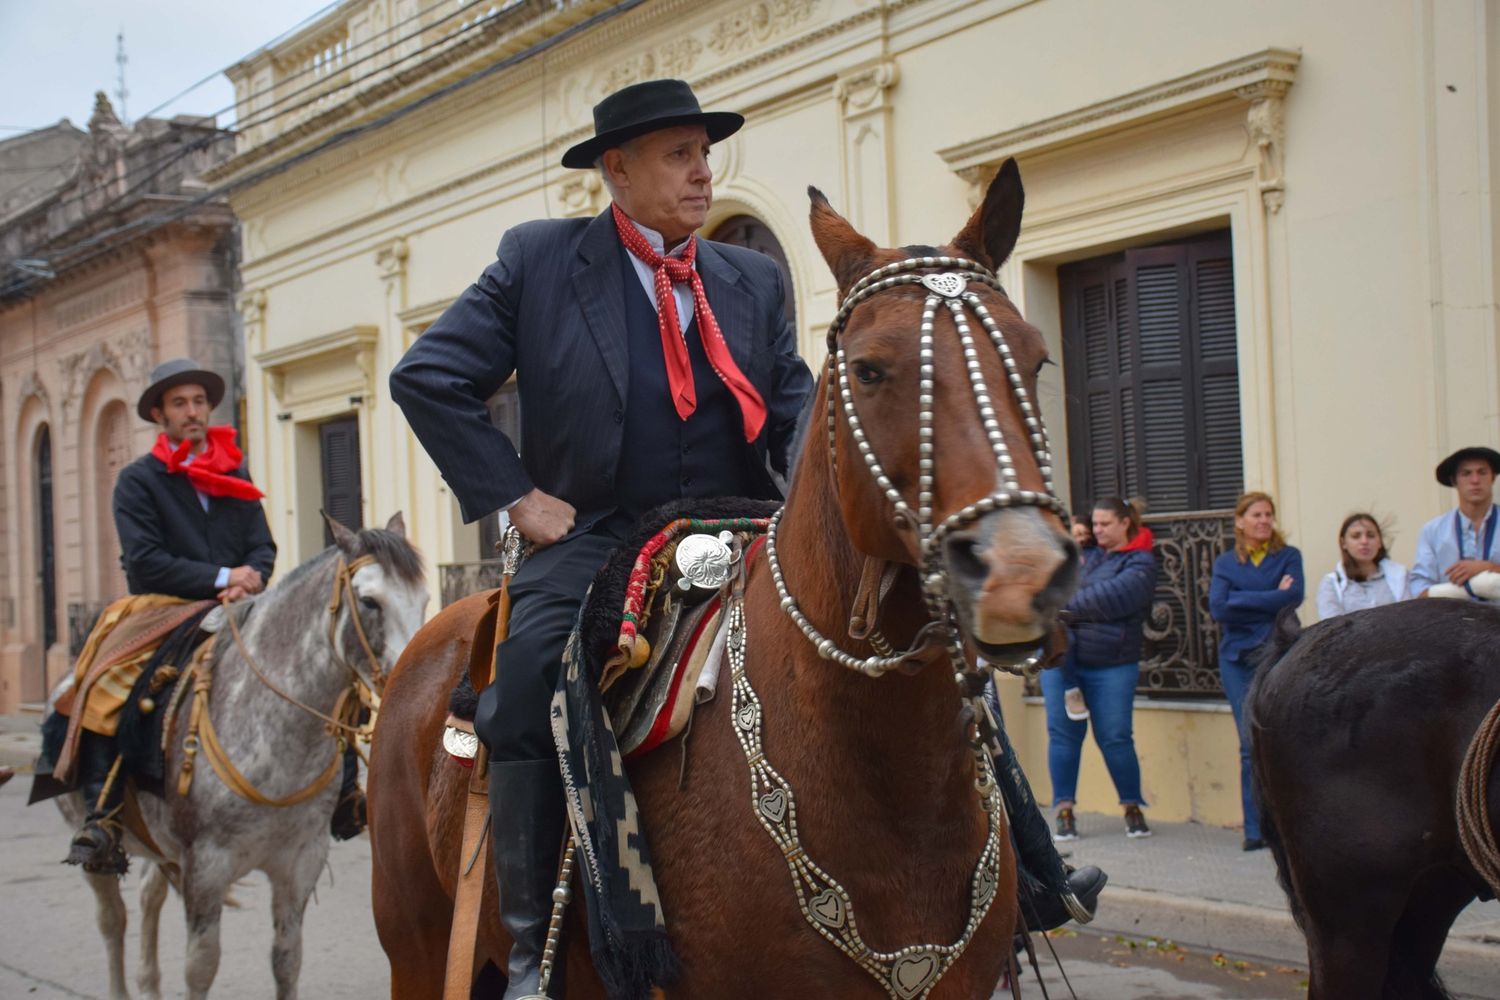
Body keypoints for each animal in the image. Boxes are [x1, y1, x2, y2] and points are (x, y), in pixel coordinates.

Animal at [55, 515, 426, 1000]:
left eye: (423, 599)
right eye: (369, 601)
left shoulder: (299, 863)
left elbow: (287, 961)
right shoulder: (206, 870)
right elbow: (200, 968)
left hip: (158, 844)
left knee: (148, 896)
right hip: (97, 845)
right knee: (112, 920)